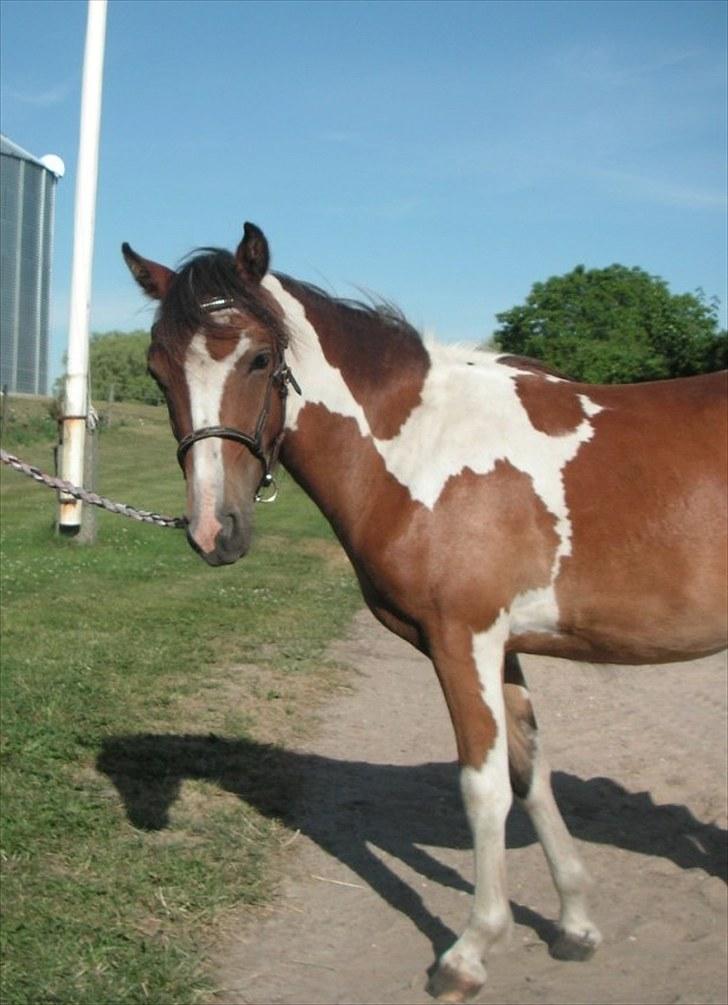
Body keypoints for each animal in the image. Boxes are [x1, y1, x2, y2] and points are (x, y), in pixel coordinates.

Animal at [120, 224, 728, 1000]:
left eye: (259, 358)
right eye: (158, 370)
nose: (211, 530)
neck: (425, 449)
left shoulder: (462, 639)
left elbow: (482, 787)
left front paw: (470, 951)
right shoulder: (503, 647)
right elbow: (529, 773)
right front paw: (575, 924)